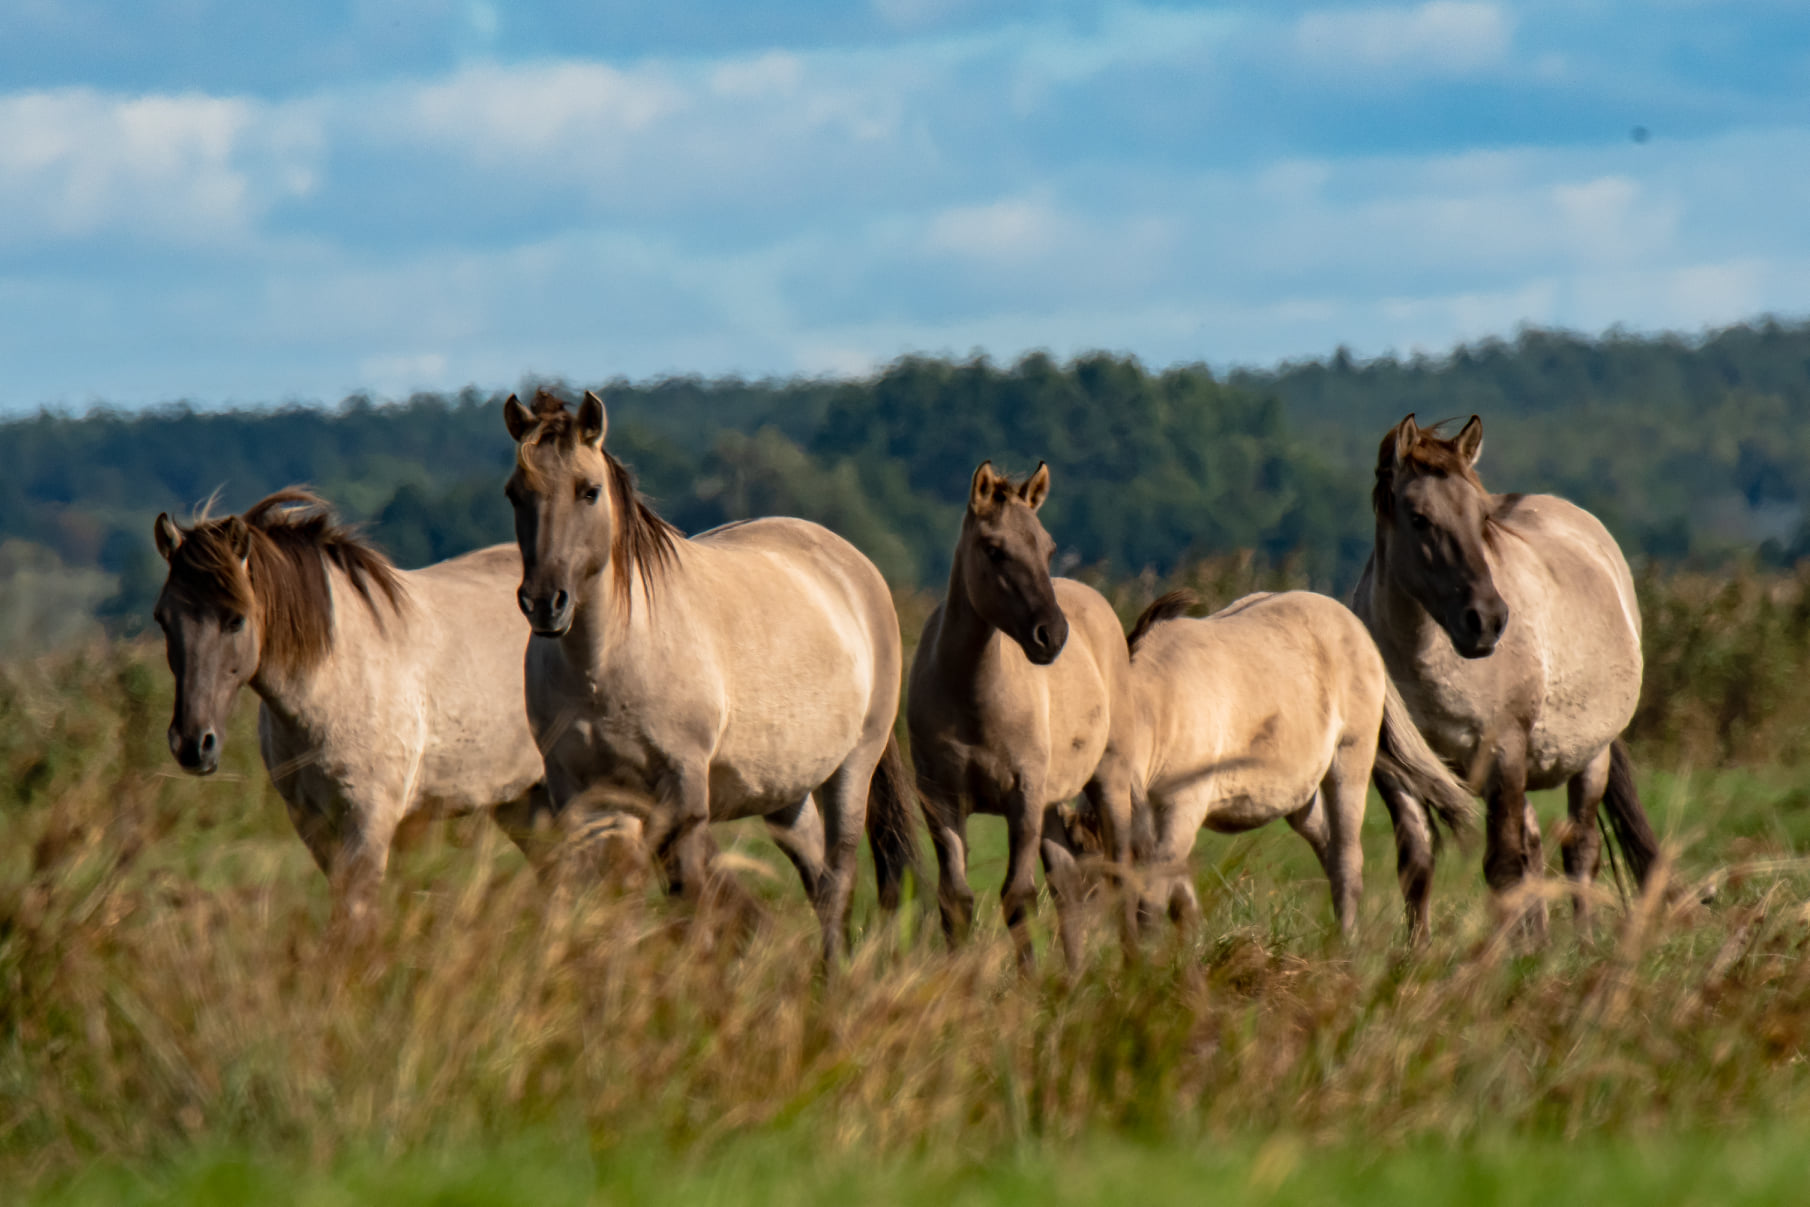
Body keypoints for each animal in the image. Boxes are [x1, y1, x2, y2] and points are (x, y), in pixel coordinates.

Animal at [151, 488, 546, 926]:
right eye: (163, 619)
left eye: (235, 620)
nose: (192, 744)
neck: (336, 677)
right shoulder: (313, 824)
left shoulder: (367, 824)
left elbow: (356, 920)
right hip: (522, 802)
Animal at [499, 392, 912, 969]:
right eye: (516, 493)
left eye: (589, 491)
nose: (544, 602)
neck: (607, 663)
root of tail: (856, 567)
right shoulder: (579, 795)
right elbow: (604, 896)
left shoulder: (684, 790)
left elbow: (685, 892)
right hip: (786, 791)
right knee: (817, 876)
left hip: (853, 768)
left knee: (839, 881)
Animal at [905, 457, 1129, 969]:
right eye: (994, 550)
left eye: (1048, 548)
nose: (1053, 634)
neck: (973, 700)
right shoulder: (941, 801)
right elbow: (957, 899)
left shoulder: (1023, 795)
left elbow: (1018, 895)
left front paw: (1031, 982)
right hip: (1051, 802)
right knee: (1066, 885)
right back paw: (1074, 976)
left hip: (1109, 779)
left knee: (1123, 869)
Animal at [1100, 589, 1469, 940]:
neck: (1161, 707)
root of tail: (1357, 627)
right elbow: (1176, 898)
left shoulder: (1181, 807)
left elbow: (1154, 900)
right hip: (1300, 797)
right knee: (1331, 853)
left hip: (1349, 763)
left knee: (1347, 861)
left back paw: (1346, 949)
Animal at [1353, 410, 1657, 940]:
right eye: (1419, 519)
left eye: (1482, 518)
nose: (1487, 620)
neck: (1421, 657)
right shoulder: (1397, 771)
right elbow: (1417, 862)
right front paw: (1417, 952)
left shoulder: (1503, 751)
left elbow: (1502, 867)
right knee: (1533, 845)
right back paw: (1541, 941)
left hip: (1587, 757)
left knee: (1579, 849)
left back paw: (1583, 943)